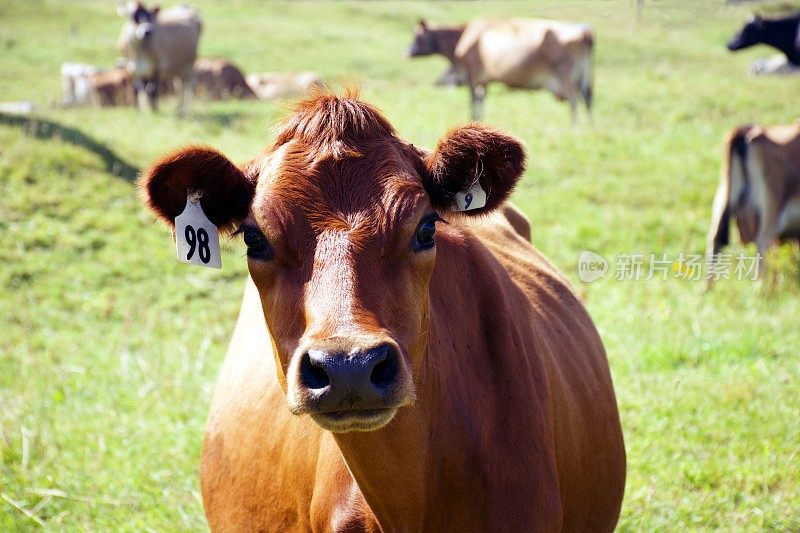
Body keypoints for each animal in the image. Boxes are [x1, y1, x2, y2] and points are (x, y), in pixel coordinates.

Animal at [412, 17, 592, 120]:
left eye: (417, 36)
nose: (408, 51)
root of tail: (585, 33)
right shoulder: (483, 80)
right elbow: (481, 101)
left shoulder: (472, 75)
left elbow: (473, 102)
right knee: (587, 99)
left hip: (566, 79)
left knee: (575, 104)